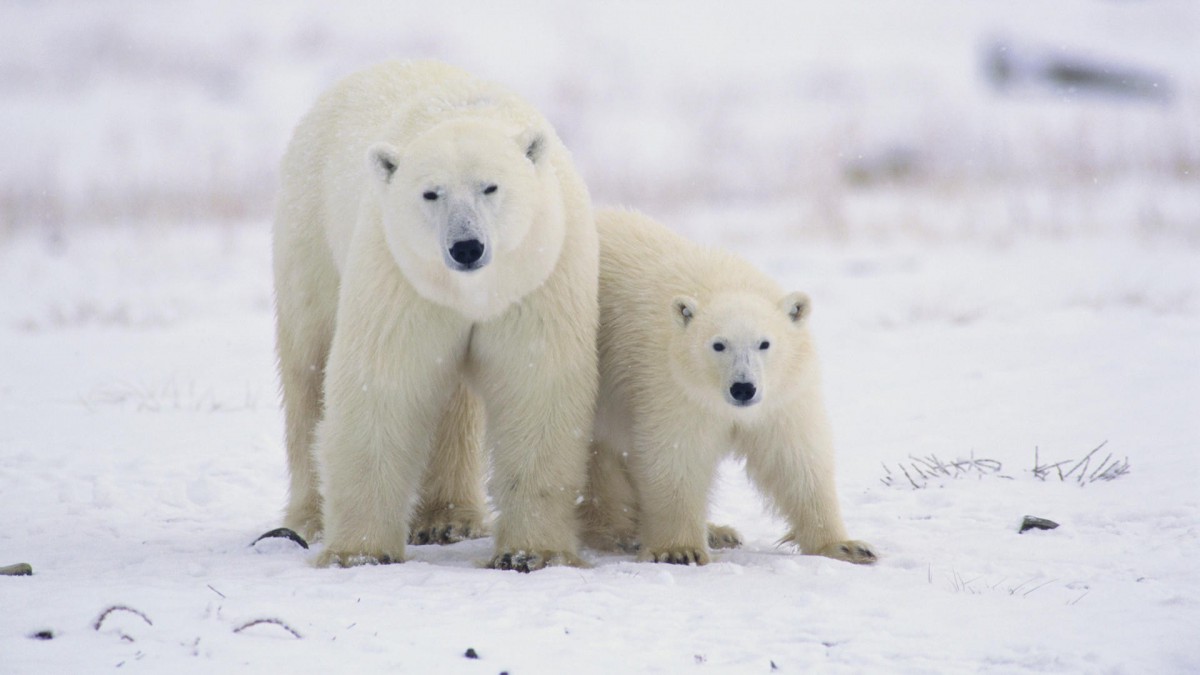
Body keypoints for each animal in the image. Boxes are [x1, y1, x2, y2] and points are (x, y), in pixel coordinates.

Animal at [277, 60, 604, 569]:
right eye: (431, 193)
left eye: (491, 186)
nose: (466, 246)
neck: (472, 292)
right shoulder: (401, 274)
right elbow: (383, 382)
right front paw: (360, 552)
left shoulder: (538, 273)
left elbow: (537, 384)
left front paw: (530, 552)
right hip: (310, 231)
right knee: (308, 368)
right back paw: (309, 518)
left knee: (454, 403)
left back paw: (449, 519)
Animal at [583, 208, 878, 562]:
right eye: (718, 345)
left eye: (764, 343)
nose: (743, 388)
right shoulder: (671, 385)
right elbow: (676, 455)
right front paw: (680, 550)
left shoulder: (782, 395)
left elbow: (795, 458)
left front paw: (846, 546)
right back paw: (617, 532)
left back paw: (718, 531)